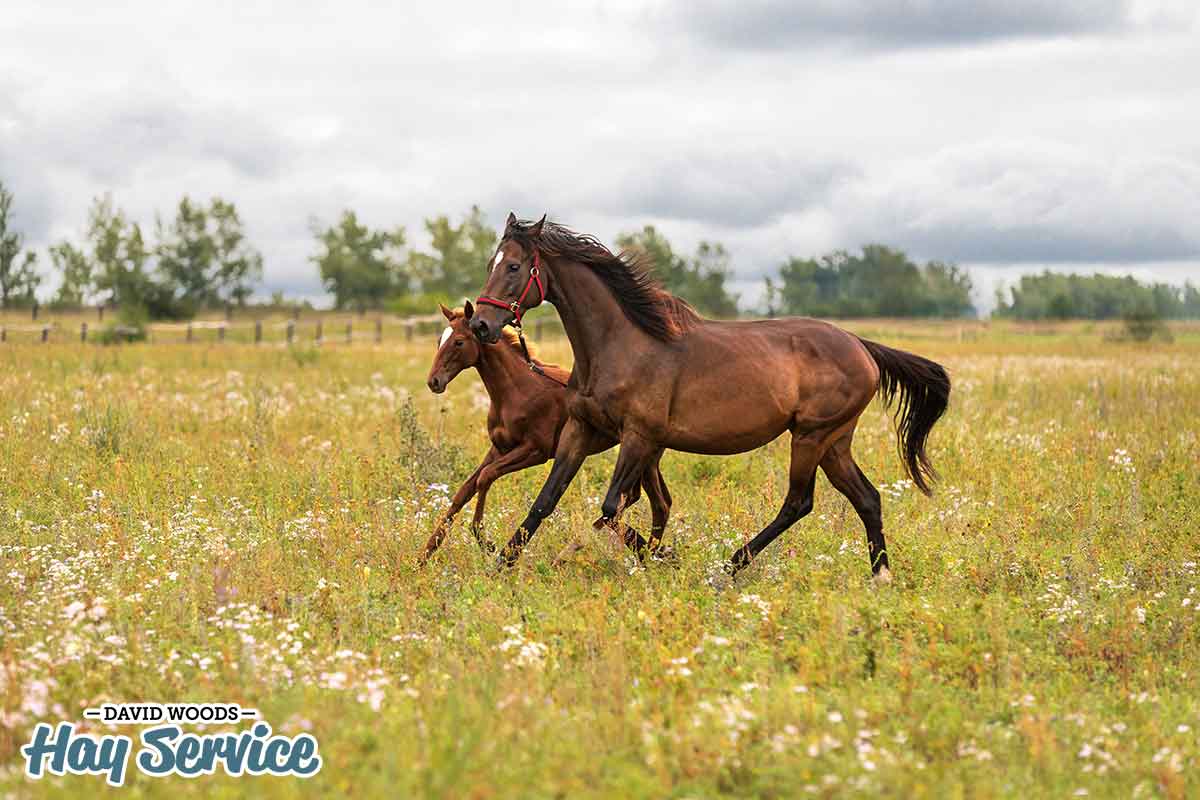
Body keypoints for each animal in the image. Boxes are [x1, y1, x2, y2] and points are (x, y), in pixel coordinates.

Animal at [420, 303, 676, 566]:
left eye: (459, 342)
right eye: (440, 340)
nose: (434, 381)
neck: (517, 391)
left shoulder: (535, 451)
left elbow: (485, 477)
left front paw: (484, 540)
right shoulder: (499, 449)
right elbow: (464, 491)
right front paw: (424, 556)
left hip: (643, 453)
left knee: (647, 502)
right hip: (646, 458)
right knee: (655, 502)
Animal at [472, 215, 950, 585]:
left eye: (513, 266)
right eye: (491, 263)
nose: (480, 324)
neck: (620, 344)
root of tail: (862, 346)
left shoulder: (639, 437)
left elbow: (610, 508)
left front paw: (652, 556)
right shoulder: (580, 428)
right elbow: (547, 499)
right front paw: (501, 563)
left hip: (811, 437)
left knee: (798, 503)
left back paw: (727, 568)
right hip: (835, 442)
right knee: (867, 498)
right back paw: (880, 577)